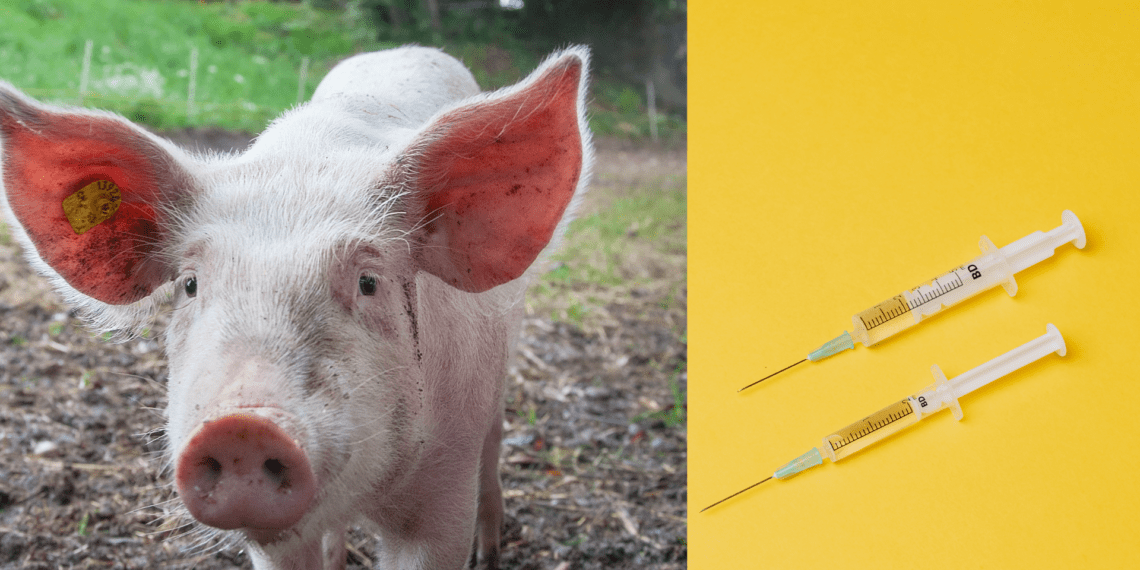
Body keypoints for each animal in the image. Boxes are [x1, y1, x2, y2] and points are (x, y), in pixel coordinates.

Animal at [0, 45, 591, 569]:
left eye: (368, 282)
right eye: (190, 285)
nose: (241, 426)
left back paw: (489, 553)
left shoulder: (444, 489)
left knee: (494, 447)